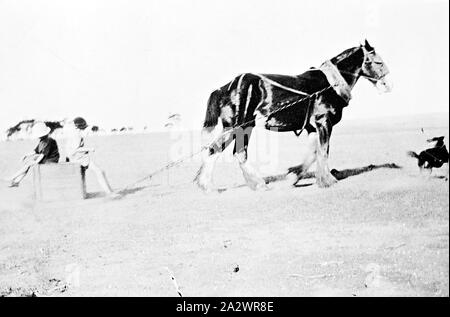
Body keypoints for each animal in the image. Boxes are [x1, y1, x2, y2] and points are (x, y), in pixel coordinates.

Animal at [195, 40, 392, 191]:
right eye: (378, 62)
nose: (387, 85)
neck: (329, 84)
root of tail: (224, 88)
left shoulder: (313, 127)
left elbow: (313, 153)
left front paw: (295, 176)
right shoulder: (324, 122)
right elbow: (323, 151)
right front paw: (327, 180)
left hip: (235, 127)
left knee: (219, 150)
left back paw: (212, 185)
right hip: (241, 127)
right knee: (233, 152)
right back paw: (251, 184)